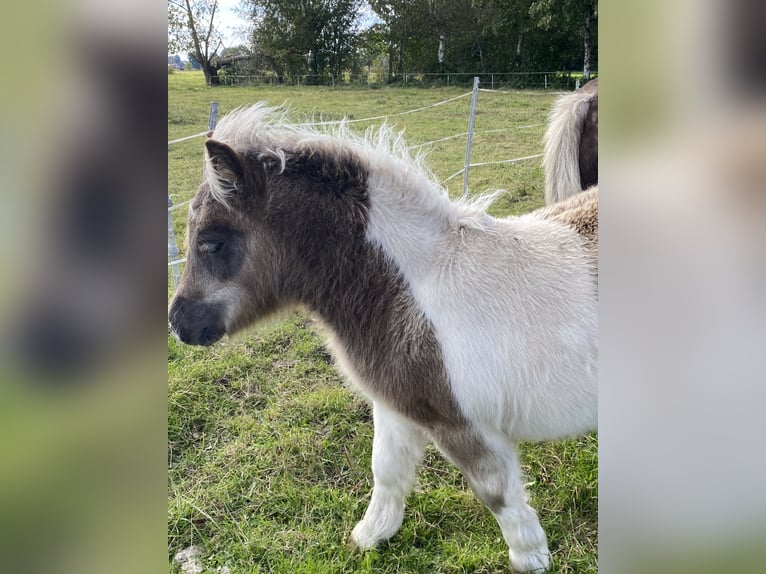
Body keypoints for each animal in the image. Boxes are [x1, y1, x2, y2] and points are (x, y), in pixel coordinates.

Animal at [171, 106, 596, 572]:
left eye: (212, 242)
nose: (178, 322)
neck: (412, 290)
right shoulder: (396, 404)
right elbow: (386, 470)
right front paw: (370, 536)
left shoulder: (463, 424)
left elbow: (496, 493)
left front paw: (531, 557)